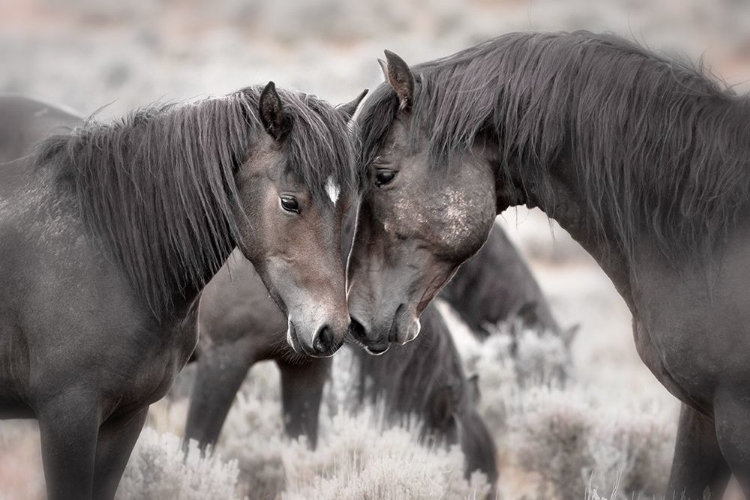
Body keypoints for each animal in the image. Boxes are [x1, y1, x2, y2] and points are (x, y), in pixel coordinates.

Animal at [0, 86, 360, 500]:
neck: (110, 255)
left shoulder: (127, 415)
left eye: (347, 208)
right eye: (289, 202)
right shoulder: (69, 416)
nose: (331, 328)